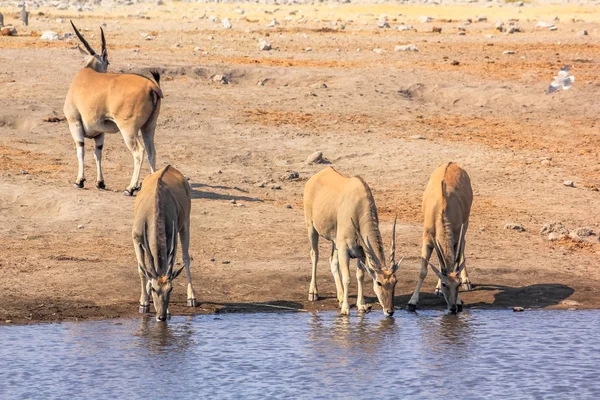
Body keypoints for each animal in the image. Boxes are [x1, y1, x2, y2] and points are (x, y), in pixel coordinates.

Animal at [63, 21, 163, 196]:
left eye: (107, 62)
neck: (87, 72)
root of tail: (152, 87)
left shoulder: (75, 123)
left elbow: (80, 150)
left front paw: (79, 181)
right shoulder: (99, 133)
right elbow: (98, 153)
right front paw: (100, 182)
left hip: (128, 129)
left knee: (139, 151)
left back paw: (130, 188)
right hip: (148, 127)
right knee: (152, 152)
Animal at [132, 164, 198, 320]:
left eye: (171, 289)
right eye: (155, 289)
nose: (161, 316)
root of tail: (170, 167)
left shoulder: (170, 241)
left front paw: (167, 311)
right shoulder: (136, 239)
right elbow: (142, 270)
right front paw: (144, 303)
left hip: (185, 224)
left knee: (186, 257)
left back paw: (191, 298)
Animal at [304, 166, 404, 316]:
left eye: (395, 282)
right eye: (379, 283)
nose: (389, 311)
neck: (358, 208)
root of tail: (315, 177)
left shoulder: (361, 251)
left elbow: (360, 275)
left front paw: (361, 305)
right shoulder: (344, 249)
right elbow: (347, 278)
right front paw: (345, 309)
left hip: (335, 241)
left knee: (332, 261)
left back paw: (340, 296)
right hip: (312, 228)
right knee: (314, 254)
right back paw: (313, 293)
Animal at [404, 162, 474, 312]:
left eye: (457, 284)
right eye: (444, 284)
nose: (453, 308)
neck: (441, 208)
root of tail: (452, 163)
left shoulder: (455, 239)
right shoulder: (427, 241)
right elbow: (423, 271)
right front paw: (412, 302)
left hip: (465, 224)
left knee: (463, 246)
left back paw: (467, 281)